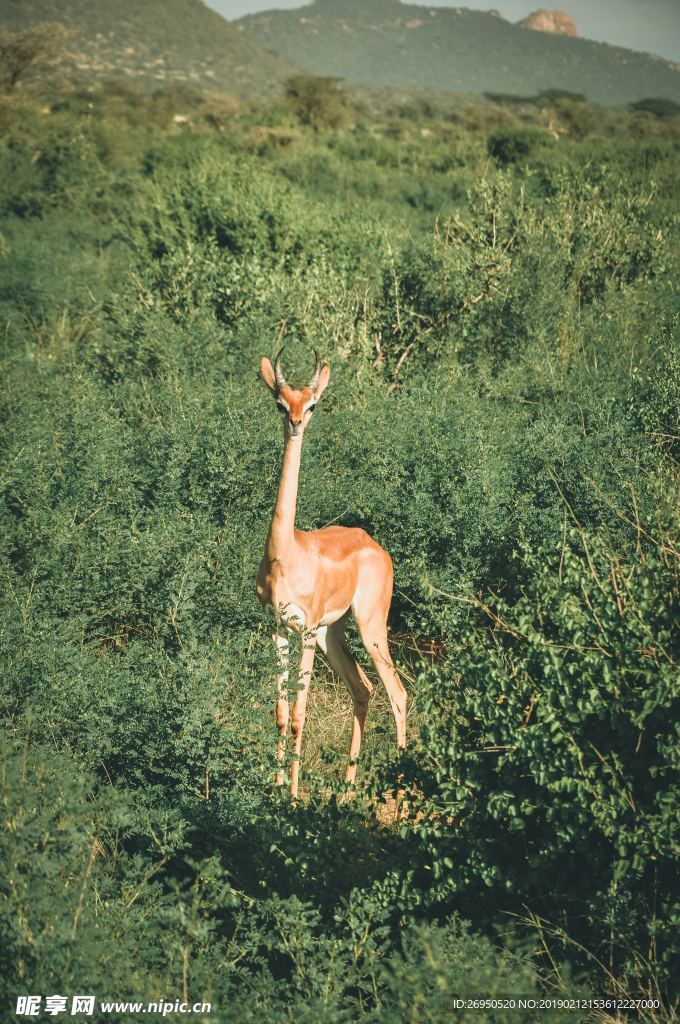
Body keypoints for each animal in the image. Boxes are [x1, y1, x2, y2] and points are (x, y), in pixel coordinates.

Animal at [253, 348, 403, 794]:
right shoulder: (278, 628)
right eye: (280, 402)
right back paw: (347, 790)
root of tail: (376, 547)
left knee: (397, 693)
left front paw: (293, 796)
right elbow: (281, 713)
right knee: (364, 688)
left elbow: (300, 715)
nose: (296, 423)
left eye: (312, 404)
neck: (286, 553)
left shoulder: (303, 629)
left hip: (368, 627)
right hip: (331, 635)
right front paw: (275, 787)